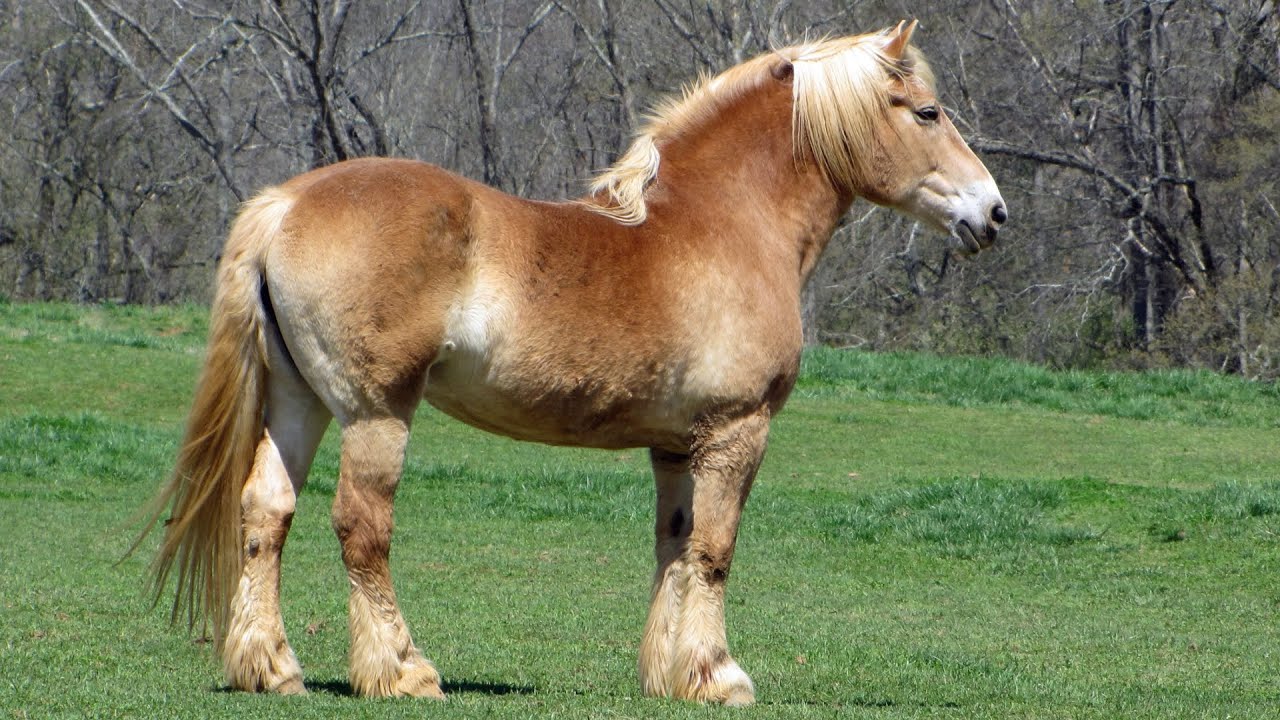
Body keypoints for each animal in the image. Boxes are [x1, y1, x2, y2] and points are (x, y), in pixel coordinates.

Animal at [138, 20, 1005, 705]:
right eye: (927, 112)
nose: (993, 212)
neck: (723, 221)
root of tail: (285, 203)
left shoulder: (676, 446)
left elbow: (675, 546)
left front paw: (670, 675)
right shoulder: (738, 430)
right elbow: (715, 552)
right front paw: (719, 675)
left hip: (301, 402)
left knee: (267, 513)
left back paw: (271, 668)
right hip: (374, 412)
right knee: (362, 528)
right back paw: (402, 670)